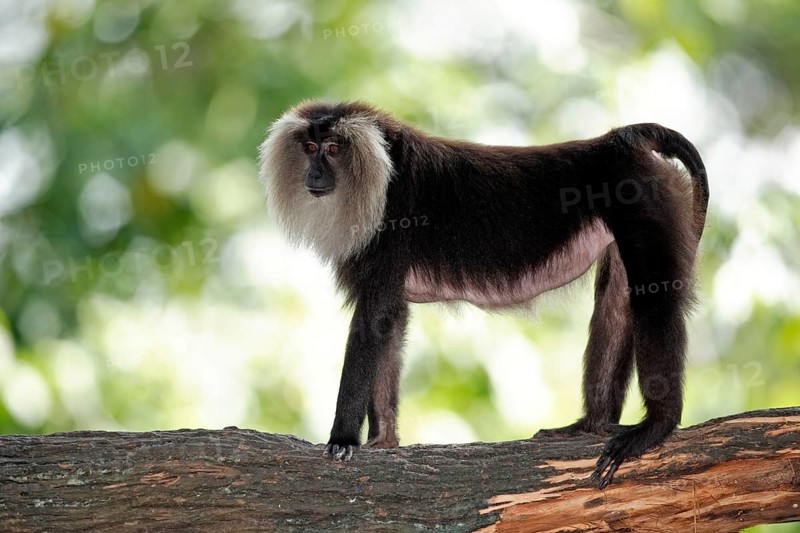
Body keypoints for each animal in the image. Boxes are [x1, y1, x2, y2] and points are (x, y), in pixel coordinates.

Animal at [259, 100, 708, 488]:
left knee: (653, 300)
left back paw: (659, 424)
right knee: (615, 305)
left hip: (639, 194)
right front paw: (383, 439)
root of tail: (619, 140)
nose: (315, 174)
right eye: (311, 148)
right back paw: (589, 425)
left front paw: (342, 439)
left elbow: (373, 322)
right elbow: (390, 323)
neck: (381, 170)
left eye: (334, 149)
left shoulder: (391, 222)